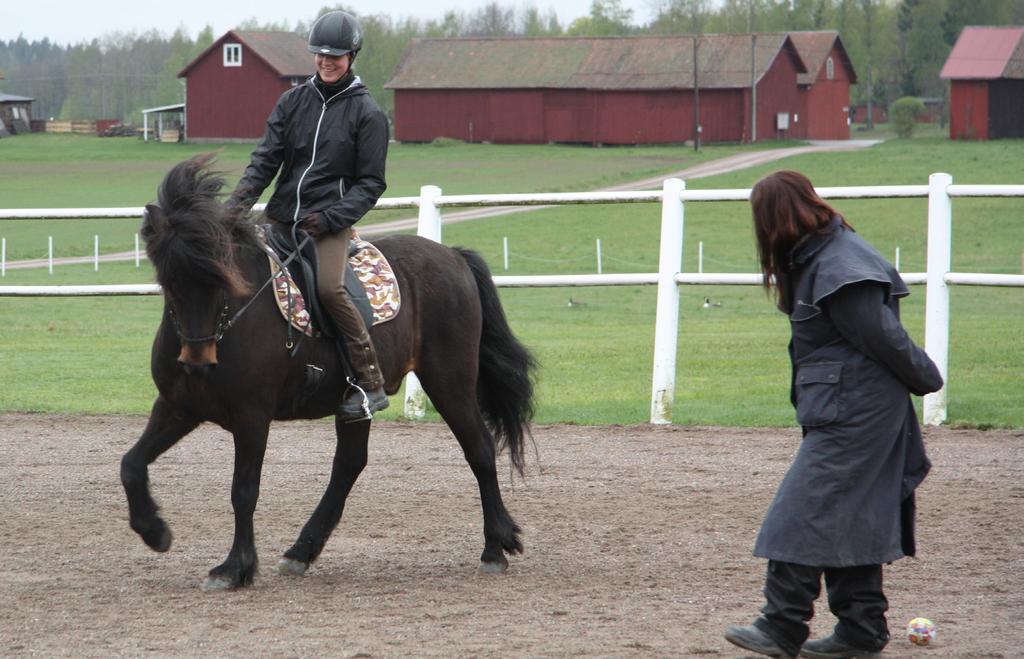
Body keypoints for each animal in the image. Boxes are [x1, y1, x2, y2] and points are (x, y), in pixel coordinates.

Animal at [119, 155, 536, 593]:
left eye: (221, 276)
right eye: (168, 278)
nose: (197, 361)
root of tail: (452, 257)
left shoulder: (252, 417)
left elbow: (243, 491)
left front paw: (234, 567)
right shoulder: (178, 407)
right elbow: (131, 464)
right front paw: (154, 531)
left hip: (450, 383)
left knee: (479, 449)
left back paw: (494, 549)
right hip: (357, 403)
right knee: (350, 464)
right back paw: (301, 551)